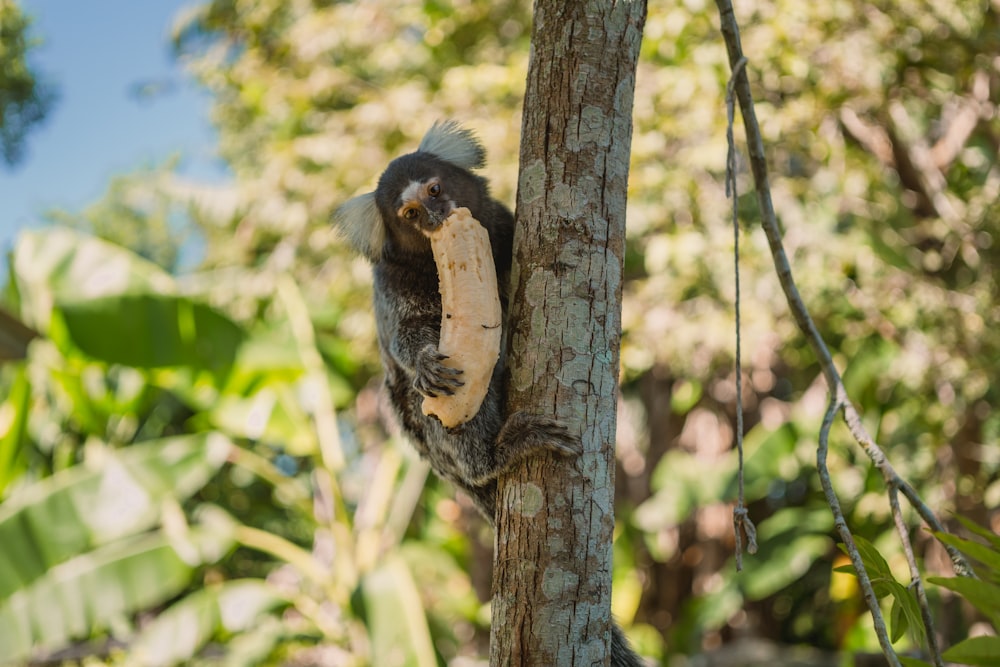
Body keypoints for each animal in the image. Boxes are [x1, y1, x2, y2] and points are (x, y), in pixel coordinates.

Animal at [336, 122, 644, 664]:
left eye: (435, 189)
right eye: (409, 214)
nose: (436, 217)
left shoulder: (501, 225)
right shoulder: (392, 286)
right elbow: (407, 339)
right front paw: (423, 363)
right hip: (443, 447)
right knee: (431, 413)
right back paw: (497, 453)